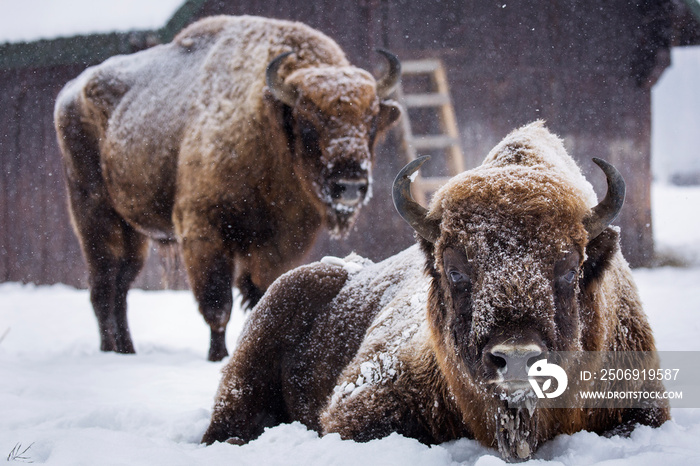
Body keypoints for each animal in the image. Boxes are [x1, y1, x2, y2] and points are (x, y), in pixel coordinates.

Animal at [54, 14, 402, 360]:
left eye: (371, 121)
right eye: (307, 121)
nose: (350, 185)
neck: (265, 121)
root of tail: (70, 92)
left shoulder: (277, 243)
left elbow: (260, 295)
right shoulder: (205, 232)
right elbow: (218, 304)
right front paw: (218, 356)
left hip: (133, 233)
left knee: (121, 286)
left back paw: (127, 350)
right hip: (95, 216)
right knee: (103, 284)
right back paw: (110, 350)